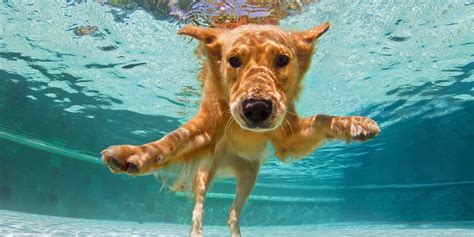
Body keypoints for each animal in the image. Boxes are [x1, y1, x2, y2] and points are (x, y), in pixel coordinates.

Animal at [101, 21, 382, 236]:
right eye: (234, 60)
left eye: (282, 60)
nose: (256, 108)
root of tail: (228, 165)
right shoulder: (205, 127)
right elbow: (171, 141)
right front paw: (134, 154)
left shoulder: (288, 137)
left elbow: (322, 118)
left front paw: (356, 124)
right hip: (205, 174)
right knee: (198, 211)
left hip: (249, 176)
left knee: (232, 215)